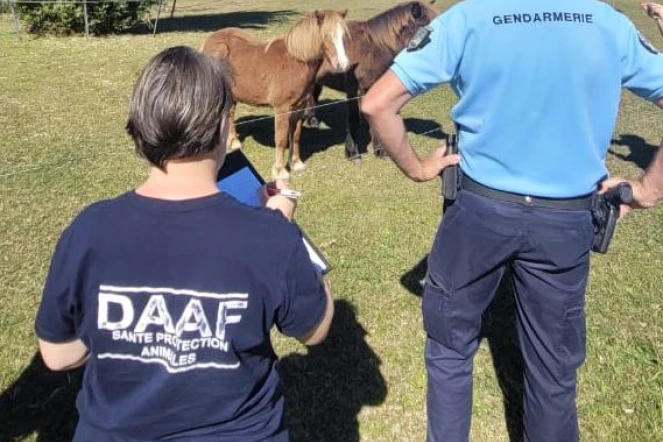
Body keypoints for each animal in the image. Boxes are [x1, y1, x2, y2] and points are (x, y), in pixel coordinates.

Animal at [200, 9, 350, 180]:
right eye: (326, 36)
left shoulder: (299, 108)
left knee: (230, 114)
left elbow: (296, 136)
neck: (295, 61)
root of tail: (210, 40)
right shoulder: (282, 109)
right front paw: (280, 172)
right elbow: (281, 139)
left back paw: (234, 142)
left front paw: (296, 164)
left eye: (344, 35)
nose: (343, 65)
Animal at [304, 1, 438, 161]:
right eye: (428, 27)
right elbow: (353, 119)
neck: (374, 48)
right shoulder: (355, 90)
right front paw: (353, 152)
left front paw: (380, 151)